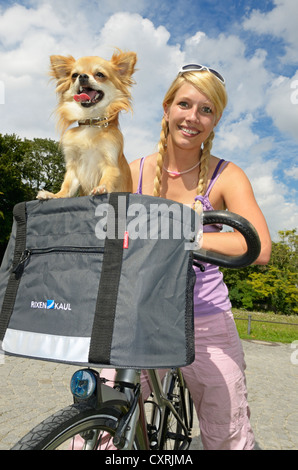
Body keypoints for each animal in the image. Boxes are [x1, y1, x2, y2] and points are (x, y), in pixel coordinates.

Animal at [36, 49, 137, 198]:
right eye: (74, 75)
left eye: (100, 74)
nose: (82, 76)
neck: (91, 123)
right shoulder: (73, 167)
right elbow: (66, 186)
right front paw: (54, 195)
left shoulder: (110, 164)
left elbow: (108, 178)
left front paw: (101, 188)